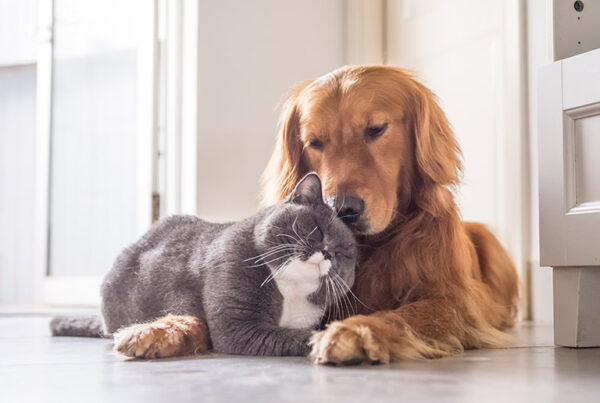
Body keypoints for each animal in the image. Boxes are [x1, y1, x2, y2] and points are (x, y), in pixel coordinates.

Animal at [51, 173, 356, 356]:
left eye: (344, 253)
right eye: (316, 229)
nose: (327, 253)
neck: (289, 291)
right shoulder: (237, 325)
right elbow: (297, 336)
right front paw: (330, 340)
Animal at [264, 65, 520, 366]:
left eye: (376, 129)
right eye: (314, 142)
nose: (342, 208)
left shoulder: (454, 300)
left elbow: (402, 315)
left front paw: (356, 331)